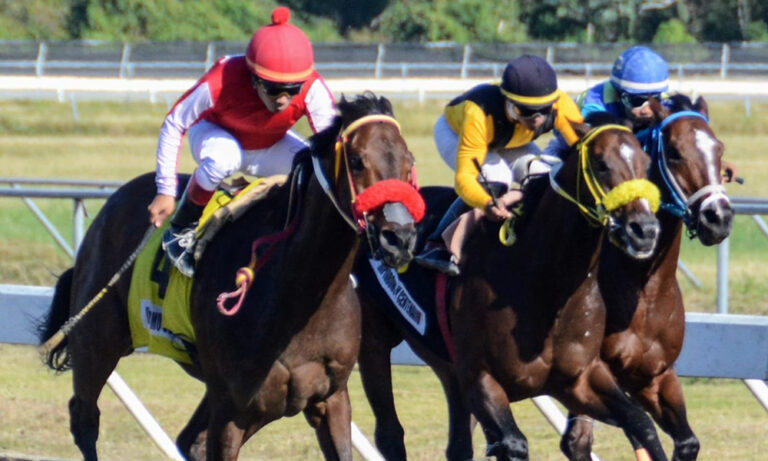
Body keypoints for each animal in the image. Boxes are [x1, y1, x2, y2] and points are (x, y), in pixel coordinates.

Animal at [39, 93, 424, 460]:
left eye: (409, 163)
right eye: (357, 160)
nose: (399, 239)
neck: (295, 293)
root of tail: (111, 205)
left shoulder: (328, 398)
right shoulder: (232, 409)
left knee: (188, 440)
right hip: (96, 340)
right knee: (84, 418)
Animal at [358, 119, 664, 460]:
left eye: (646, 164)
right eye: (601, 164)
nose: (645, 230)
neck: (546, 286)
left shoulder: (579, 378)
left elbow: (641, 423)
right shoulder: (481, 378)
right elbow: (514, 442)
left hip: (446, 366)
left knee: (458, 444)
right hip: (373, 340)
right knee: (389, 432)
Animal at [560, 94, 736, 460]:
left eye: (719, 148)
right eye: (674, 152)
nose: (718, 217)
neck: (644, 288)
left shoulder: (654, 376)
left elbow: (686, 441)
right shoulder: (596, 374)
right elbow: (627, 436)